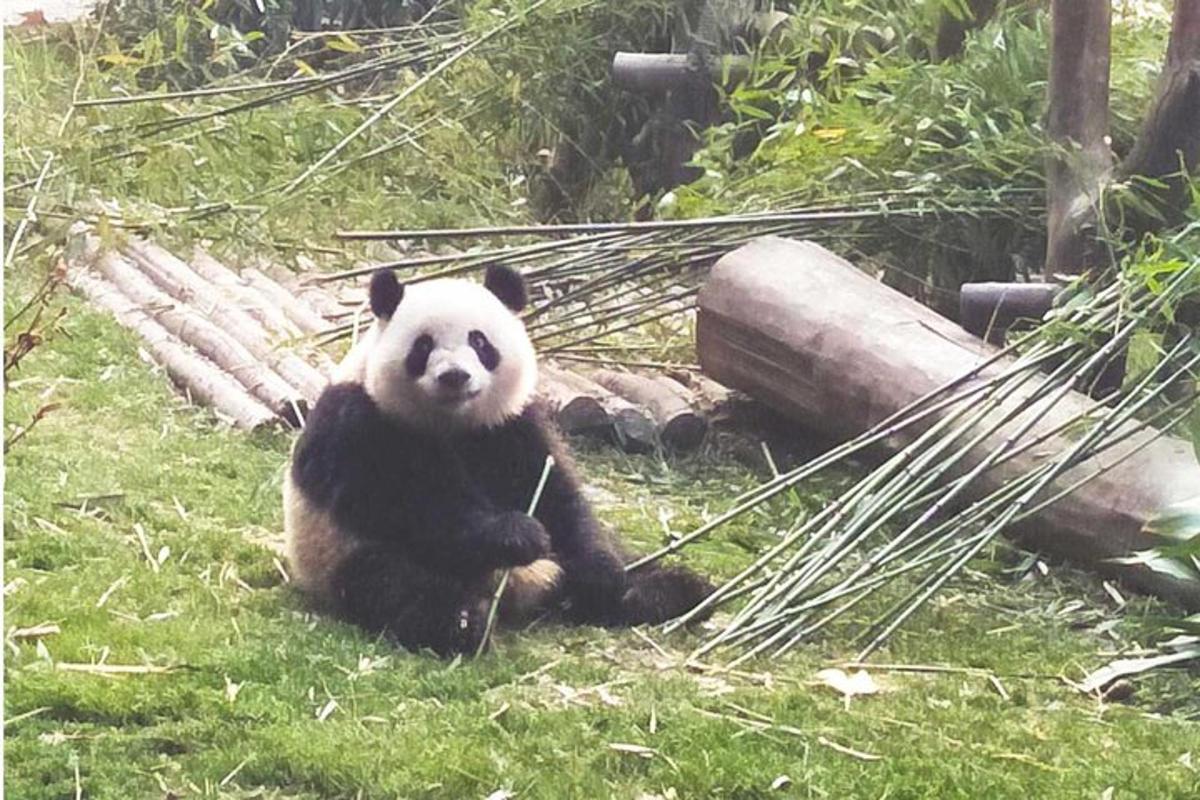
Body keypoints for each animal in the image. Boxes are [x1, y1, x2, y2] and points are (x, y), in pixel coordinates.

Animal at [280, 266, 710, 652]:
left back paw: (672, 591)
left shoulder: (510, 425)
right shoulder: (359, 423)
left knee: (631, 564)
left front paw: (598, 573)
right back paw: (462, 623)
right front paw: (517, 534)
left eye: (479, 342)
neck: (453, 422)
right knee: (395, 584)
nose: (454, 376)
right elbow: (407, 504)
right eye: (423, 346)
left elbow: (557, 494)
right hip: (339, 554)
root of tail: (531, 591)